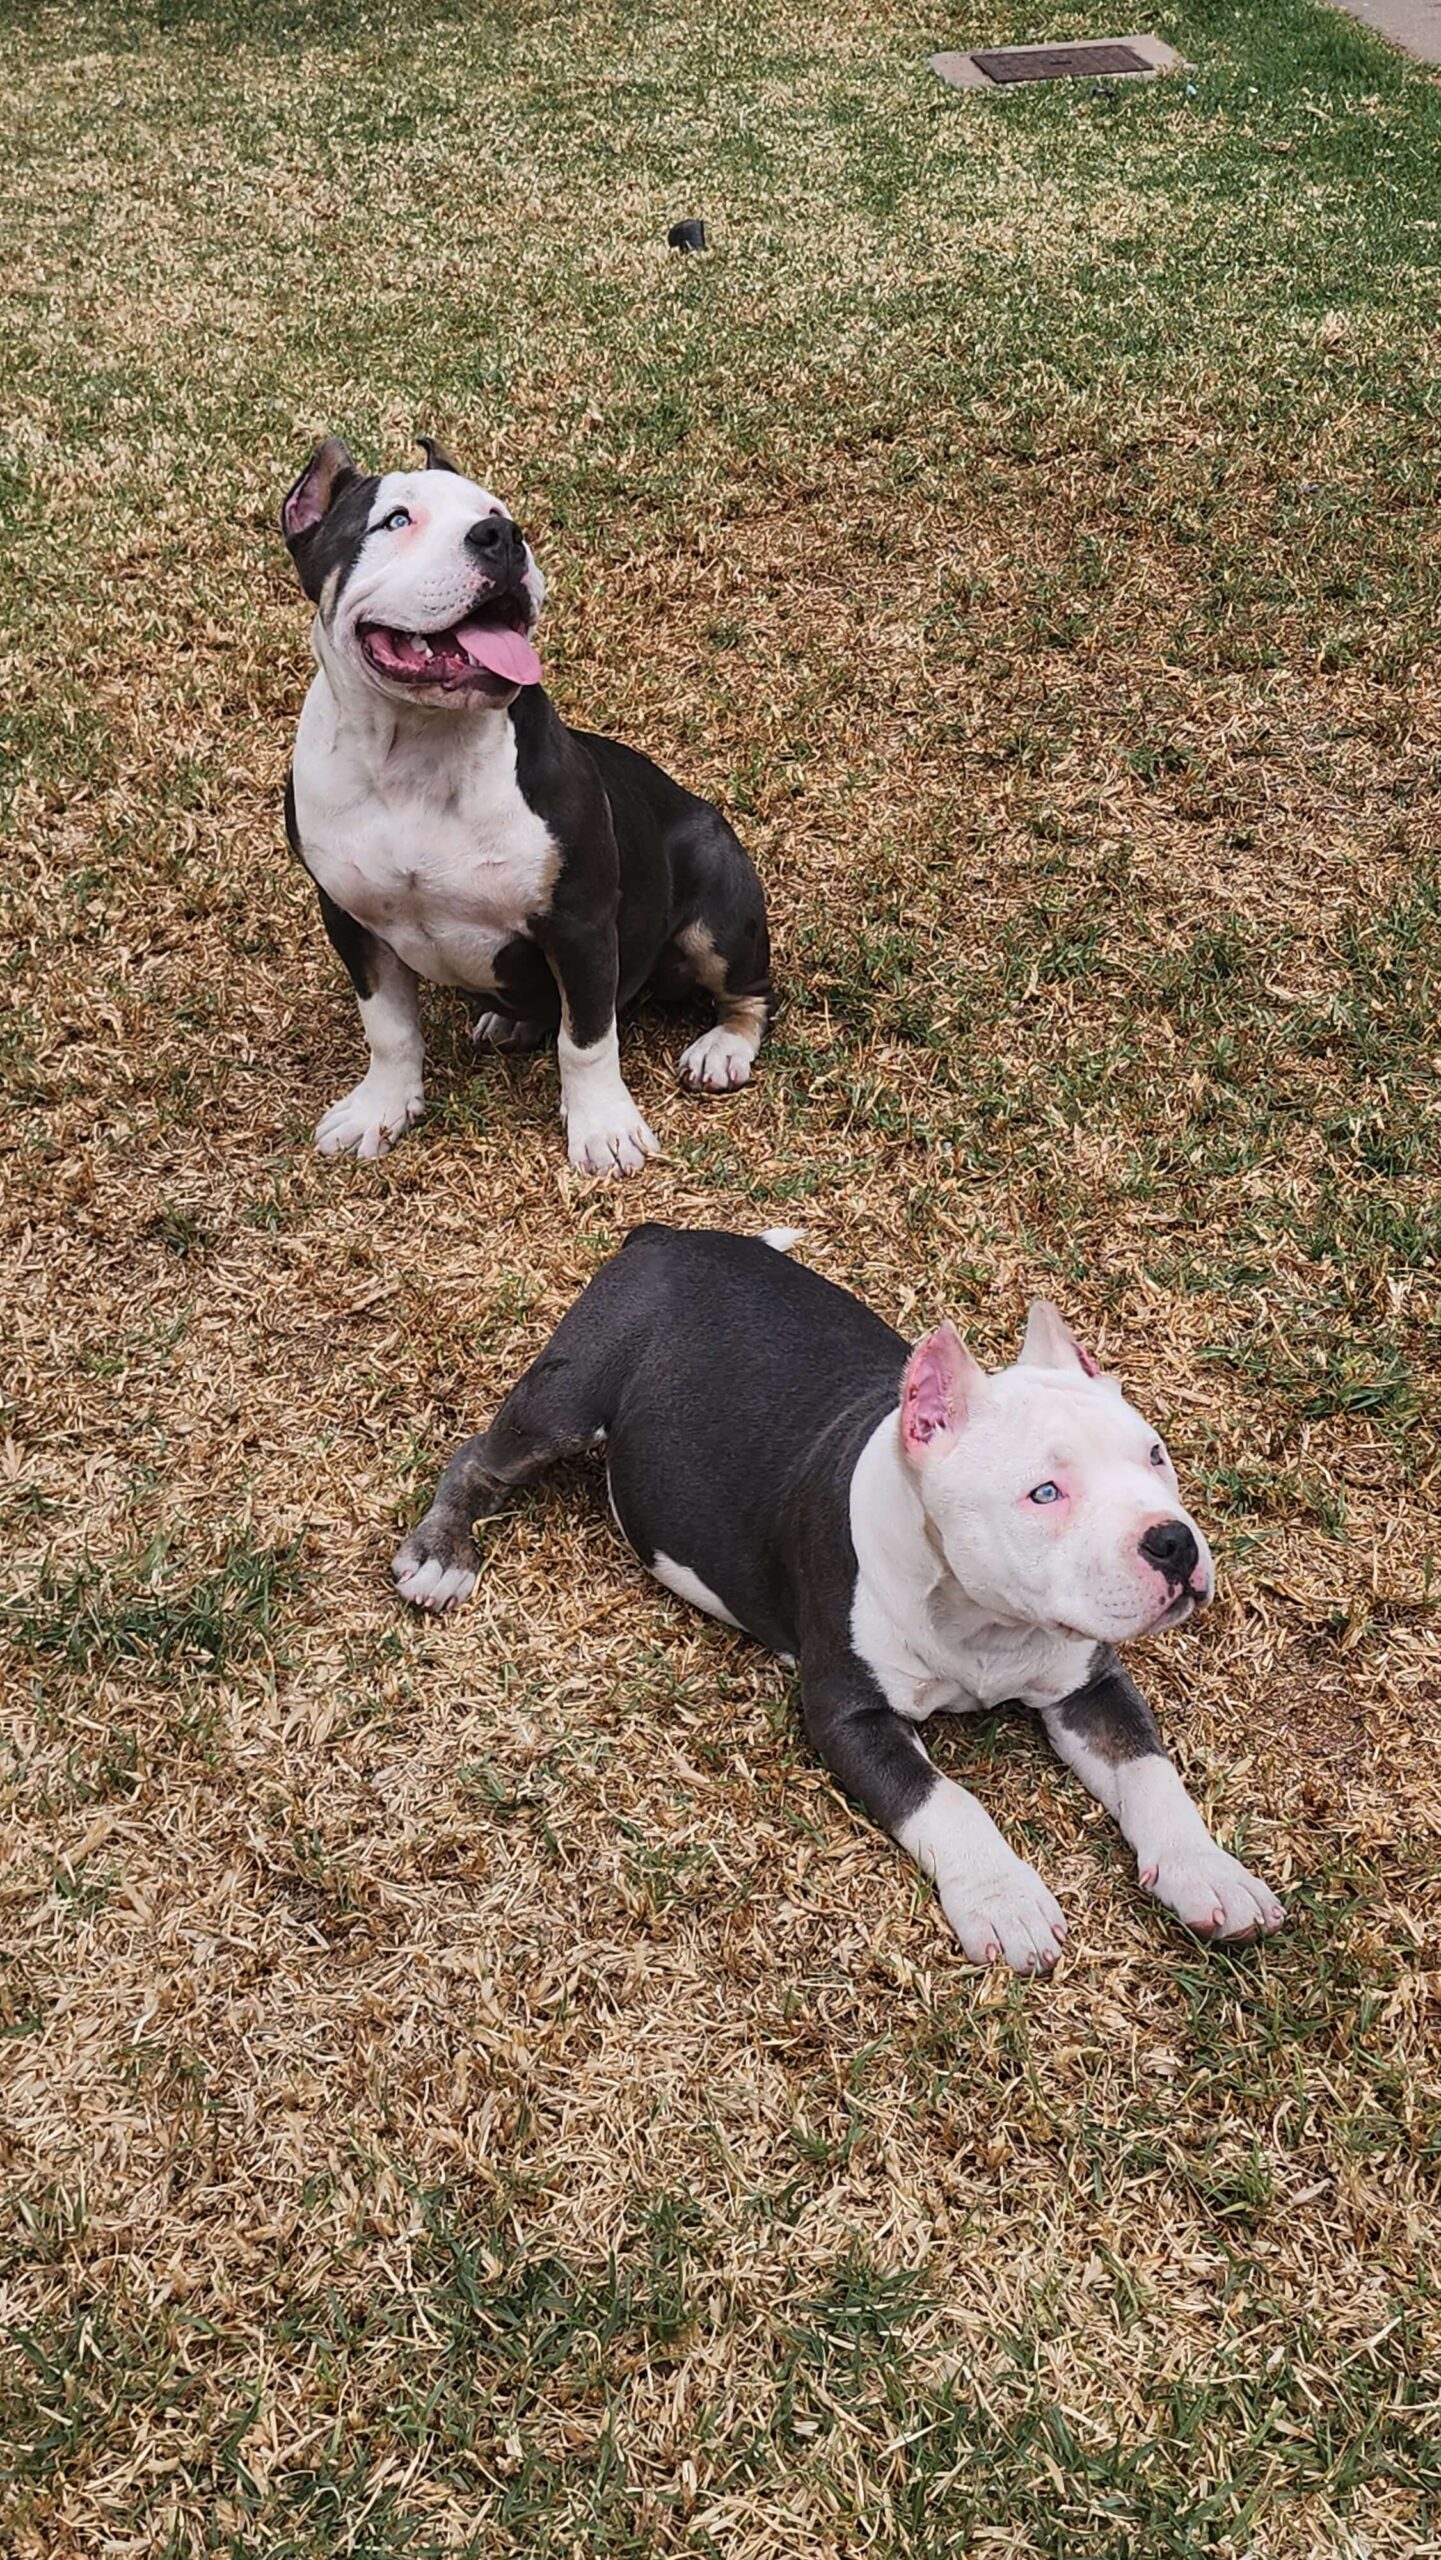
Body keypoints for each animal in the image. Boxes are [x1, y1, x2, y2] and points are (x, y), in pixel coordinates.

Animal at [285, 437, 778, 1172]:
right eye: (394, 521)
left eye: (495, 510)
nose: (501, 537)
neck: (420, 749)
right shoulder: (352, 920)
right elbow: (388, 1028)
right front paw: (380, 1108)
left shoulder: (579, 925)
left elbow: (588, 1039)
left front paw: (603, 1128)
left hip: (718, 900)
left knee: (748, 990)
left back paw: (723, 1047)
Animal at [391, 1228, 1284, 1966]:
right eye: (1043, 1493)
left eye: (1154, 1455)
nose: (1172, 1542)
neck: (985, 1625)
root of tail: (663, 1233)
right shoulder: (848, 1715)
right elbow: (944, 1801)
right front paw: (1004, 1902)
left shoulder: (1091, 1687)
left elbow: (1151, 1773)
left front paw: (1208, 1872)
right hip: (566, 1400)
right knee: (478, 1457)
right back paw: (441, 1555)